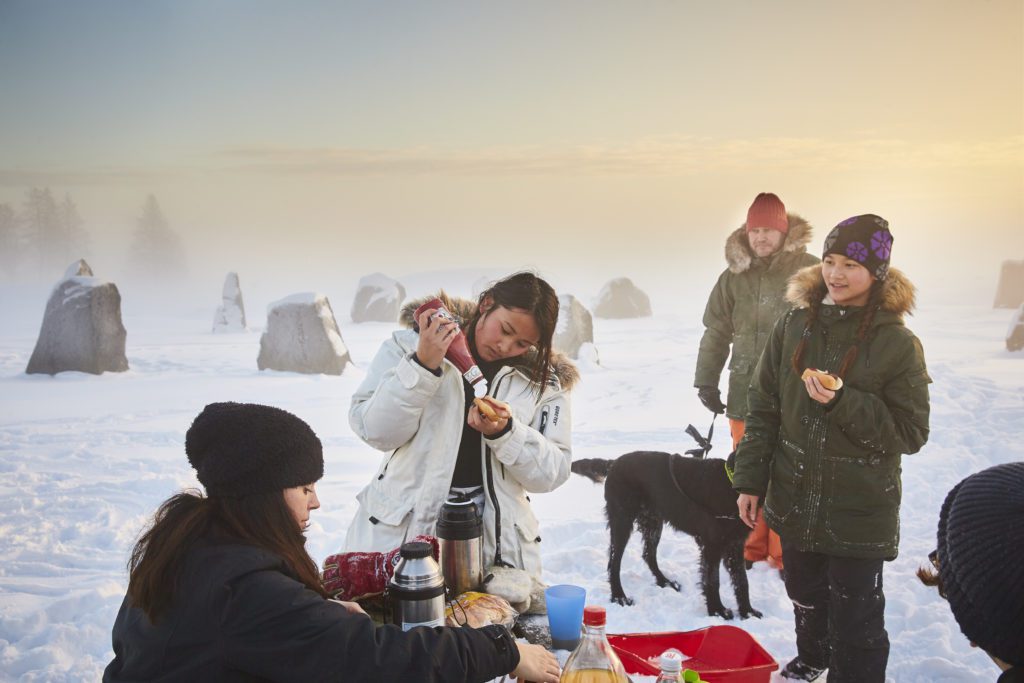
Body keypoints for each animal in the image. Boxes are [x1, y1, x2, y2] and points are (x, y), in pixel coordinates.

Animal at [577, 450, 761, 622]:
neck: (731, 482)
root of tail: (614, 463)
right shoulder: (712, 545)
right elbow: (713, 580)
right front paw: (717, 611)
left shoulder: (735, 544)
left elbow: (742, 581)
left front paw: (747, 612)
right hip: (622, 521)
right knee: (614, 563)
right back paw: (619, 596)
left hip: (653, 522)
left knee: (648, 554)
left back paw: (664, 581)